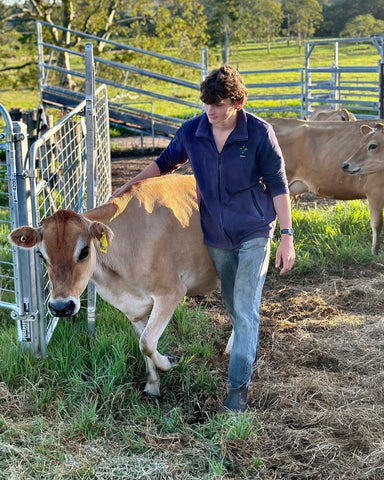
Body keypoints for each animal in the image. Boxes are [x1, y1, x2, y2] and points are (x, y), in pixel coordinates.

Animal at [8, 174, 219, 400]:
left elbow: (147, 343)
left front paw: (167, 363)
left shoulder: (171, 292)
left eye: (84, 251)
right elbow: (143, 343)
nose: (60, 307)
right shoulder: (132, 308)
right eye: (41, 255)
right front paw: (152, 386)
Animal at [268, 118, 384, 255]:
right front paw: (375, 252)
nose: (345, 165)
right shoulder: (374, 191)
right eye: (362, 143)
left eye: (372, 145)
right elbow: (377, 223)